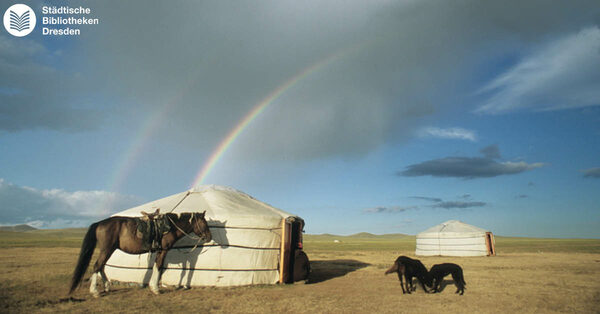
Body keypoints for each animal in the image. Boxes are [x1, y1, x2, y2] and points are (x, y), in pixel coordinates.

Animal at [69, 211, 211, 296]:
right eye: (204, 224)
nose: (209, 237)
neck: (170, 226)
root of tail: (99, 223)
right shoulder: (163, 250)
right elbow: (159, 266)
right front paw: (155, 288)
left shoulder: (160, 251)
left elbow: (159, 267)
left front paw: (153, 286)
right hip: (107, 249)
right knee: (97, 266)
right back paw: (94, 291)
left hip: (109, 249)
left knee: (101, 266)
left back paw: (107, 286)